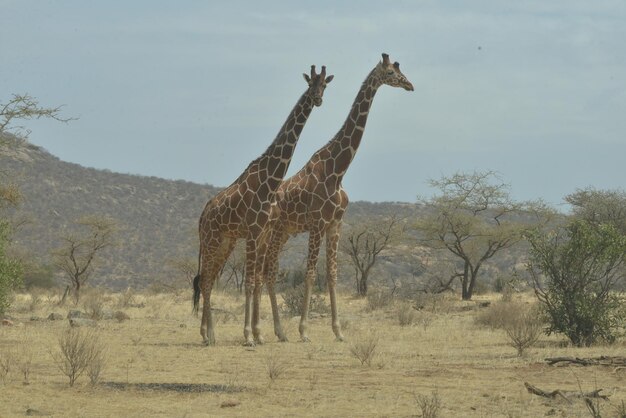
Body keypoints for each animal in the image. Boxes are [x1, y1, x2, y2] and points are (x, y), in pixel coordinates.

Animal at [193, 65, 334, 346]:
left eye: (324, 85)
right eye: (311, 84)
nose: (318, 99)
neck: (271, 178)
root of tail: (203, 215)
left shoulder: (259, 233)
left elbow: (255, 281)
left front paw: (257, 334)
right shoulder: (253, 232)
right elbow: (249, 283)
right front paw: (249, 335)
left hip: (226, 241)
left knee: (208, 279)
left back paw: (207, 333)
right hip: (212, 239)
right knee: (205, 281)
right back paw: (209, 334)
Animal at [262, 52, 412, 342]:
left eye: (400, 70)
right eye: (390, 73)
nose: (409, 85)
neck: (338, 170)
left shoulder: (335, 224)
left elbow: (331, 274)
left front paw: (338, 331)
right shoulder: (317, 224)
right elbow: (310, 274)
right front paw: (304, 330)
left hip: (283, 232)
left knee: (268, 271)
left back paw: (277, 331)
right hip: (271, 232)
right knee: (265, 270)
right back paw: (274, 331)